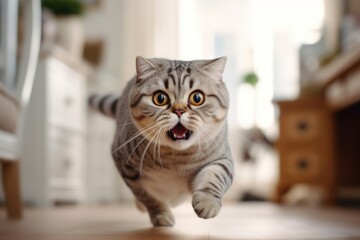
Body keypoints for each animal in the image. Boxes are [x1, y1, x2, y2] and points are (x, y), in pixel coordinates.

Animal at [89, 56, 233, 227]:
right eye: (160, 98)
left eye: (197, 98)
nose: (179, 110)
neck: (176, 159)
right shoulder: (125, 164)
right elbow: (148, 197)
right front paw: (161, 215)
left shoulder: (223, 158)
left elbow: (214, 177)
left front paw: (207, 203)